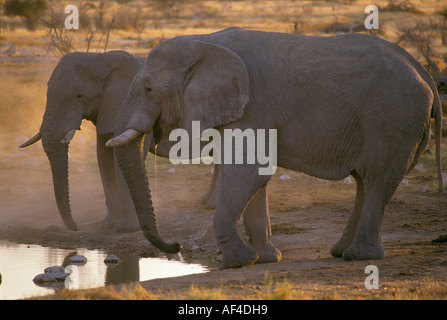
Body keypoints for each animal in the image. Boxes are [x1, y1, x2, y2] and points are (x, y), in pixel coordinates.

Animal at [106, 27, 444, 268]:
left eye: (149, 89)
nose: (175, 246)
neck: (203, 42)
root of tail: (424, 72)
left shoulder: (251, 107)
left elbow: (246, 174)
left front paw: (237, 262)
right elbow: (256, 176)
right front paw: (265, 259)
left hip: (393, 118)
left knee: (376, 180)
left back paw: (359, 256)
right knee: (365, 181)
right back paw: (340, 252)